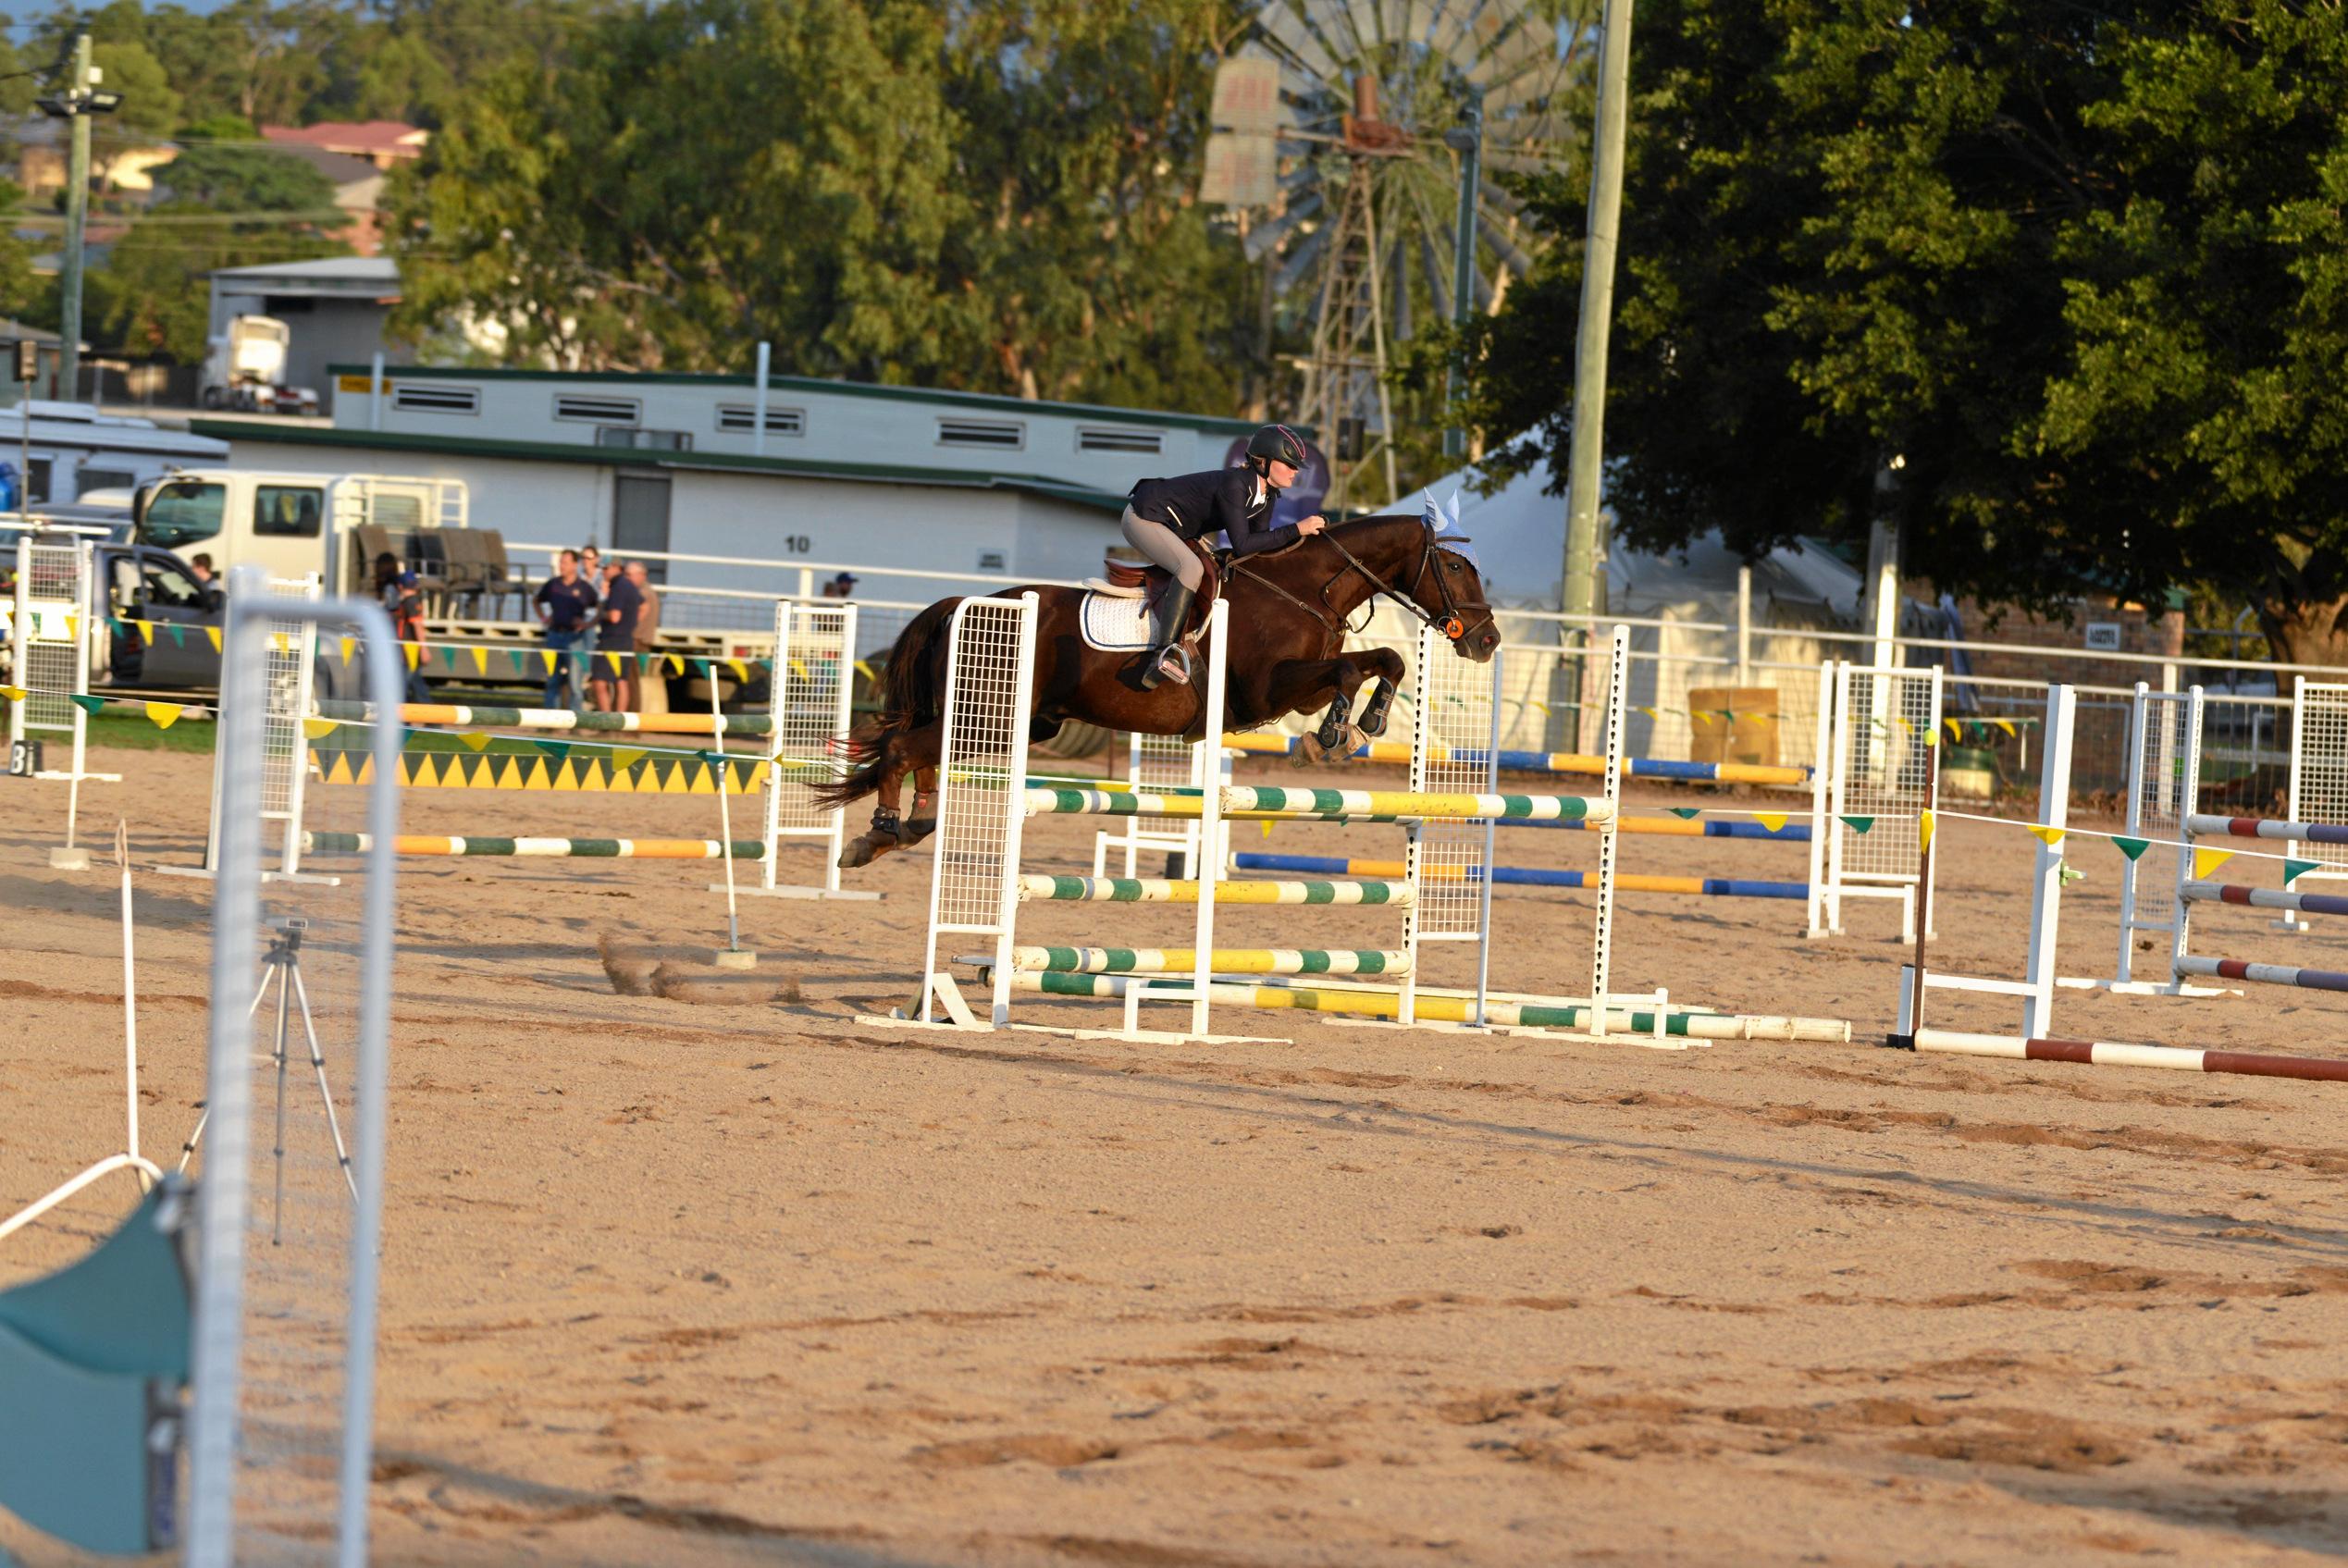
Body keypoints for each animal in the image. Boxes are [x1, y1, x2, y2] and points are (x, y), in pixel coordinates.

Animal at [817, 521, 1493, 877]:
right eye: (1458, 569)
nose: (1487, 640)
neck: (1303, 588)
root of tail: (961, 604)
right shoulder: (1269, 688)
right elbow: (1353, 669)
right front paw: (1332, 735)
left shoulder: (1290, 690)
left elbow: (1385, 660)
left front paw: (1360, 725)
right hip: (992, 713)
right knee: (902, 749)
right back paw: (875, 837)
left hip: (1012, 722)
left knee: (919, 754)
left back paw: (912, 825)